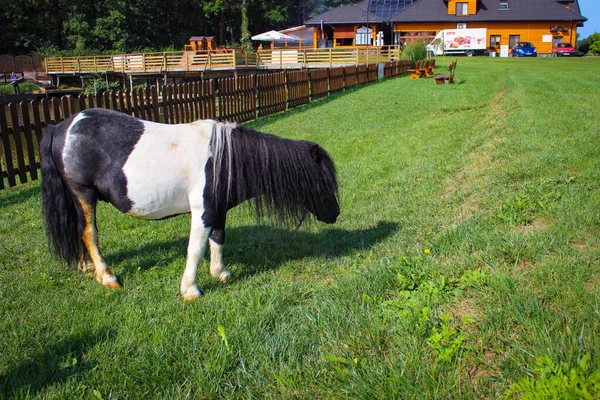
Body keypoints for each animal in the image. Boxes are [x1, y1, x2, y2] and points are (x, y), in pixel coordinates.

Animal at [40, 108, 340, 298]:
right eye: (324, 181)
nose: (335, 214)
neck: (224, 159)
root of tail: (62, 127)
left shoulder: (218, 210)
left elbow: (218, 240)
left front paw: (220, 273)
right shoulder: (203, 212)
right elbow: (195, 249)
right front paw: (190, 290)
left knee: (77, 230)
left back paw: (87, 266)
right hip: (84, 194)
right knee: (89, 232)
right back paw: (107, 277)